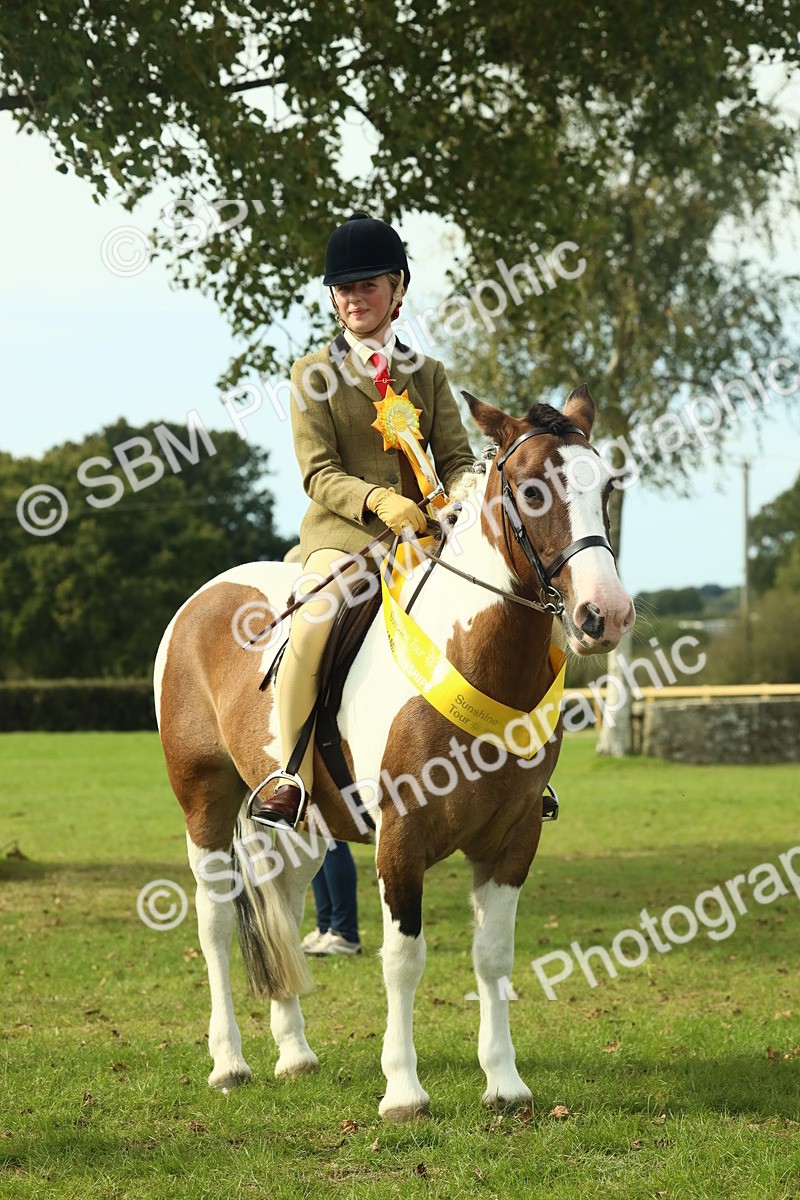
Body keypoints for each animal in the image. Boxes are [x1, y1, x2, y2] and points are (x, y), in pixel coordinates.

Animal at [153, 386, 635, 1120]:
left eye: (606, 485)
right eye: (530, 489)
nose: (605, 616)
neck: (470, 654)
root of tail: (205, 596)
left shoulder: (513, 839)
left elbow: (493, 957)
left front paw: (504, 1082)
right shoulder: (401, 840)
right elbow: (403, 960)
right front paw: (404, 1090)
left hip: (304, 825)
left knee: (284, 907)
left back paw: (294, 1052)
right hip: (204, 800)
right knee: (215, 921)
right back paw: (229, 1062)